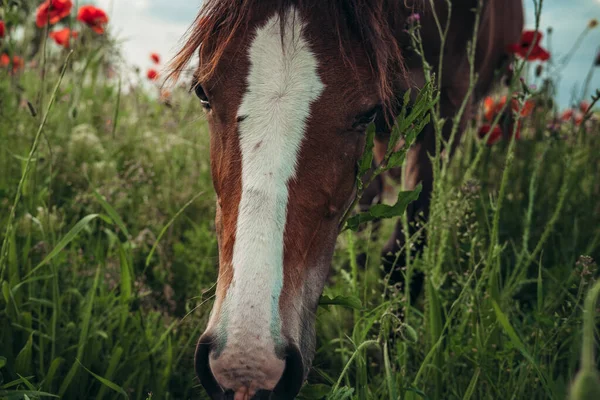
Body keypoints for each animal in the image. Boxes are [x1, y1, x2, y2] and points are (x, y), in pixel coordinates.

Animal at [168, 1, 520, 398]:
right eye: (202, 92)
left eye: (366, 111)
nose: (246, 365)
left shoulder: (445, 108)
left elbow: (403, 251)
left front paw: (388, 356)